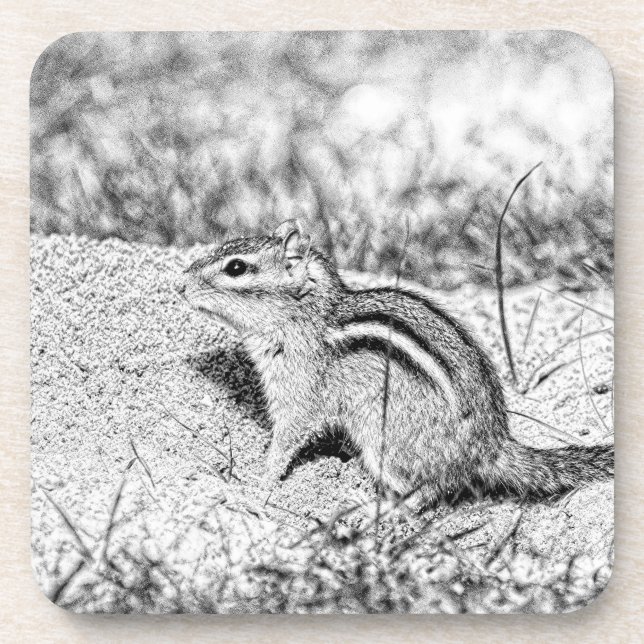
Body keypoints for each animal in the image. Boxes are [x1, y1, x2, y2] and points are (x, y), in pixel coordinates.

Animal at [178, 219, 614, 507]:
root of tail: (491, 447)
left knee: (432, 489)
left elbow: (286, 439)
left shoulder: (299, 395)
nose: (180, 285)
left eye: (236, 267)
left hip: (385, 442)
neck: (307, 317)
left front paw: (258, 481)